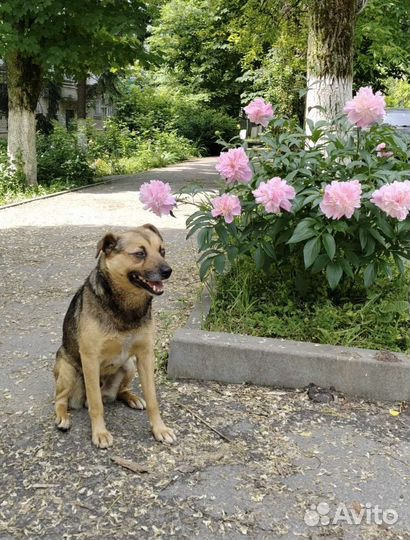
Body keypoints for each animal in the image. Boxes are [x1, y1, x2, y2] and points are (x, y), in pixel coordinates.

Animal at [53, 224, 176, 448]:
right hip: (68, 370)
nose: (168, 271)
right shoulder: (90, 359)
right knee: (61, 400)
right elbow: (95, 404)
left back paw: (131, 397)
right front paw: (100, 433)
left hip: (128, 366)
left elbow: (153, 399)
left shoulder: (145, 355)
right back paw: (63, 417)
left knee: (119, 391)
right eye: (140, 253)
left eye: (162, 251)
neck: (127, 307)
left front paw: (159, 429)